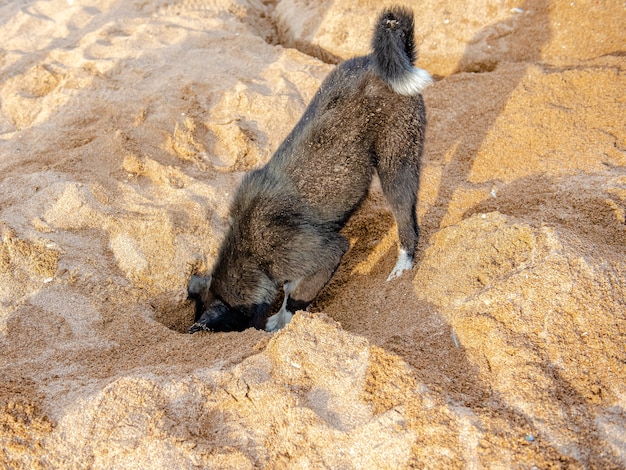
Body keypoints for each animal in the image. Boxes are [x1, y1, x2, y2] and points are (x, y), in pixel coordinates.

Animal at [185, 5, 428, 332]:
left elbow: (296, 295)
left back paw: (403, 264)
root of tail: (378, 62)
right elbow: (292, 287)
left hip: (396, 164)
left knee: (407, 221)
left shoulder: (323, 251)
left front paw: (282, 321)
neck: (248, 248)